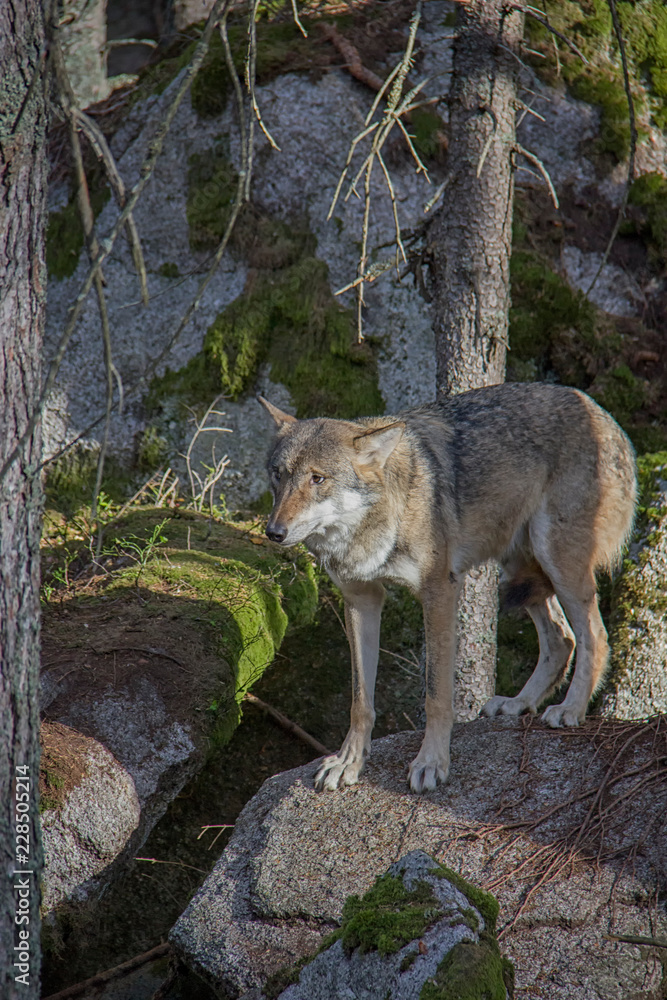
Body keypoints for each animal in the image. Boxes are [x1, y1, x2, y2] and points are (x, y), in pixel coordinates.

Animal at [258, 386, 640, 792]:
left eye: (317, 479)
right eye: (278, 475)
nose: (274, 532)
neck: (375, 523)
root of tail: (606, 417)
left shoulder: (439, 593)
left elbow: (437, 696)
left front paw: (431, 762)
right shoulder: (362, 599)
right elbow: (361, 700)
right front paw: (349, 762)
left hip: (559, 563)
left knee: (595, 637)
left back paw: (570, 709)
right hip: (521, 569)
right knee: (561, 639)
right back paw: (518, 703)